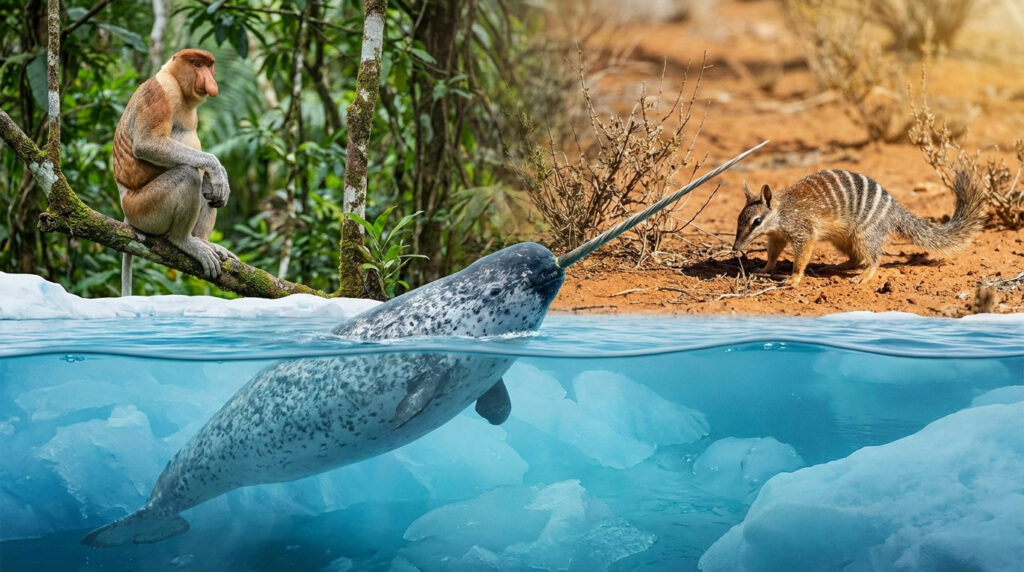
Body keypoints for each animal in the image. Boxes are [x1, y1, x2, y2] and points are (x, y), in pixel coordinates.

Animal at [114, 48, 237, 295]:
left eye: (209, 66)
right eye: (197, 65)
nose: (210, 81)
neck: (178, 86)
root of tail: (127, 212)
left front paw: (222, 179)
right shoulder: (160, 92)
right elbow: (147, 144)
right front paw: (216, 167)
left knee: (207, 189)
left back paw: (204, 240)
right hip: (144, 210)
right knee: (189, 175)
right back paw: (184, 241)